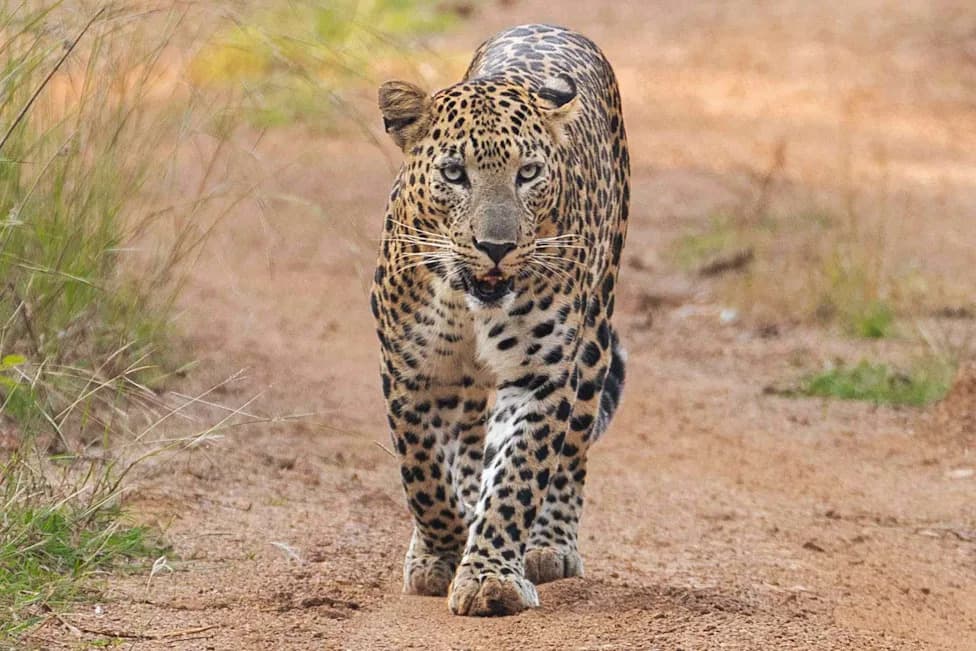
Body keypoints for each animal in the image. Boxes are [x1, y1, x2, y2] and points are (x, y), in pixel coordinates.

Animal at [370, 23, 629, 617]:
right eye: (453, 174)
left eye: (528, 174)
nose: (496, 247)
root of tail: (549, 25)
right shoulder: (414, 371)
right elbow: (424, 473)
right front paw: (443, 552)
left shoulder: (540, 375)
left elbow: (517, 476)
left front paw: (491, 577)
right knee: (466, 449)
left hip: (595, 339)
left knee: (570, 452)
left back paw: (549, 545)